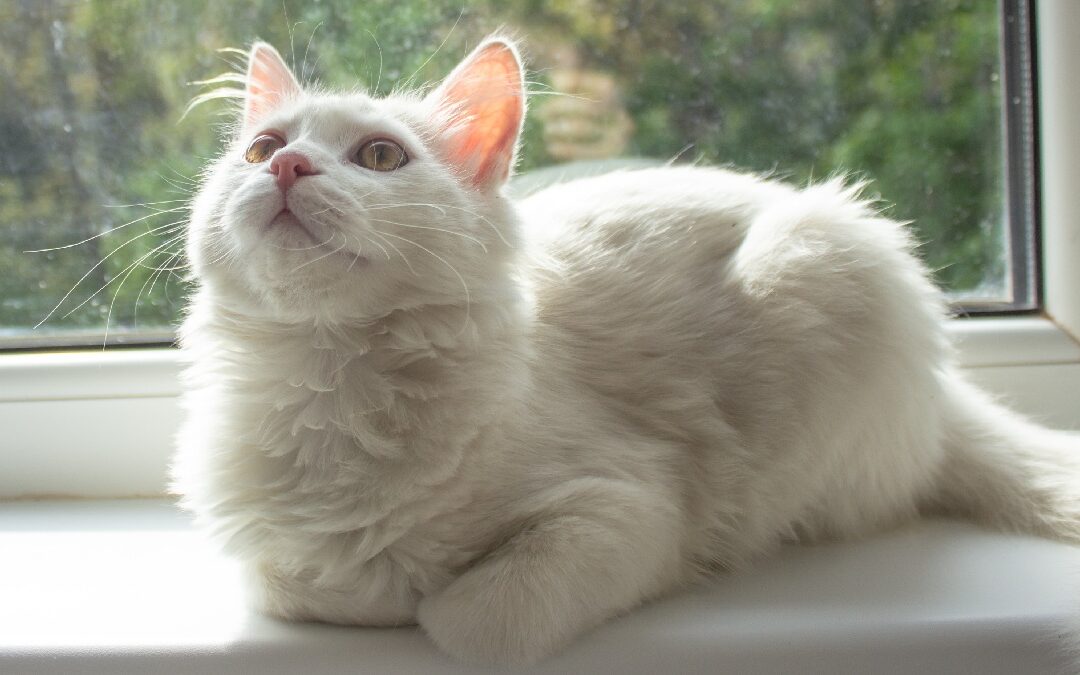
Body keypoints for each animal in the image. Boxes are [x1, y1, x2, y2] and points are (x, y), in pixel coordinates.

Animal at [170, 38, 1080, 665]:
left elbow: (472, 621)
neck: (329, 378)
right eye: (260, 149)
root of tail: (943, 392)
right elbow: (300, 582)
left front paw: (421, 600)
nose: (288, 167)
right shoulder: (269, 558)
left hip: (820, 274)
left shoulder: (630, 506)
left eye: (380, 156)